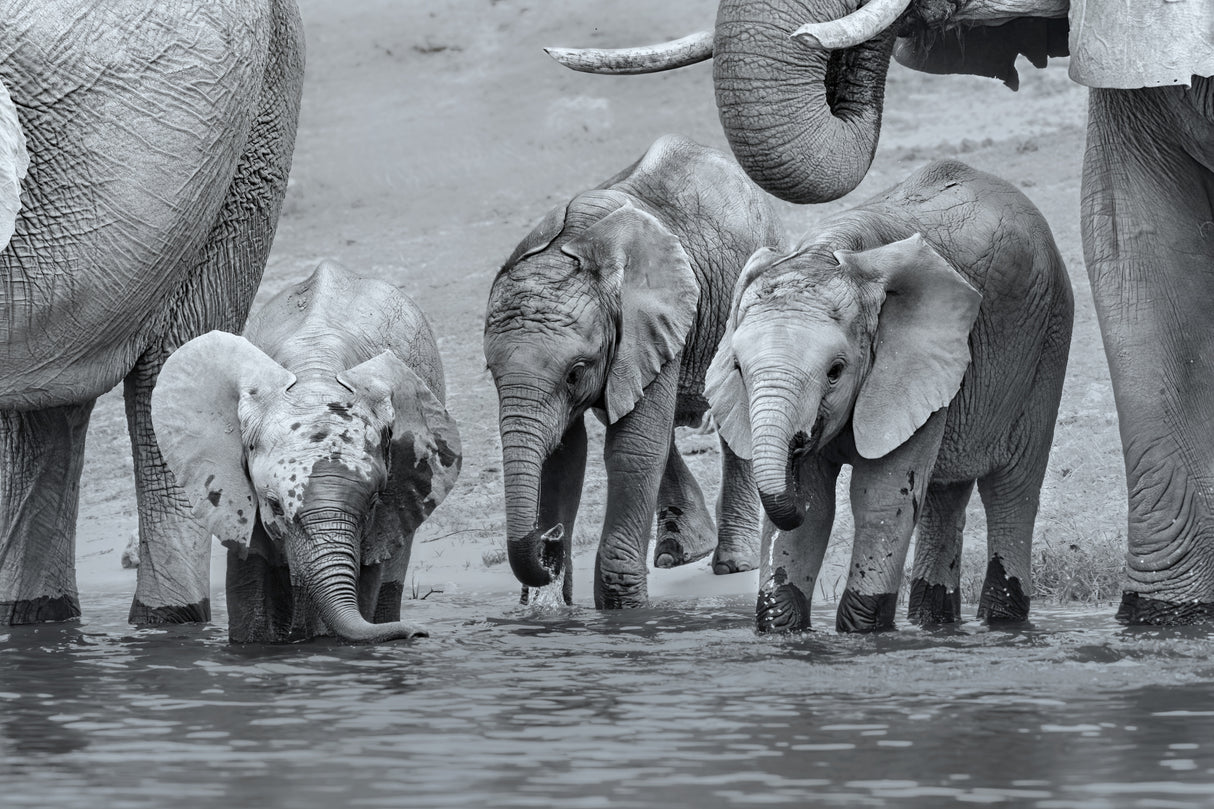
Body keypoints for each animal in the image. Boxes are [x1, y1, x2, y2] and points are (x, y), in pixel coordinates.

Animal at [484, 134, 785, 609]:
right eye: (491, 374)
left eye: (575, 372)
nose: (550, 539)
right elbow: (565, 455)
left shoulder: (652, 321)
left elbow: (632, 449)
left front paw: (622, 611)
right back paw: (680, 553)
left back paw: (733, 564)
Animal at [705, 160, 1073, 633]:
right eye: (737, 369)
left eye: (835, 372)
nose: (797, 447)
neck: (829, 253)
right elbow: (816, 509)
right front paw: (783, 630)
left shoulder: (911, 363)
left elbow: (880, 497)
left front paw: (865, 633)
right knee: (944, 495)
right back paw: (934, 625)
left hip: (1049, 338)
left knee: (1011, 490)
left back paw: (1002, 624)